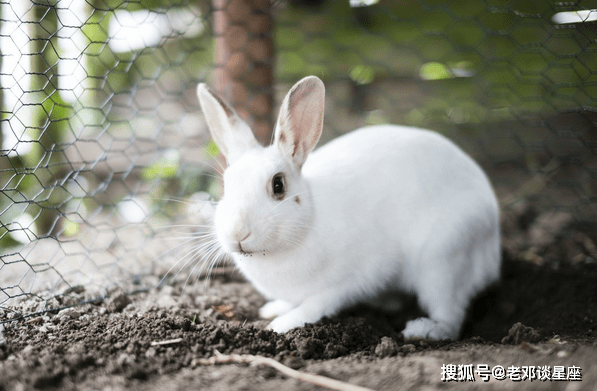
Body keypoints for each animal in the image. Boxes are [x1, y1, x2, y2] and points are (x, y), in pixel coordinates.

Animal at [196, 76, 498, 340]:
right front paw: (273, 309)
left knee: (451, 316)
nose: (237, 234)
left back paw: (424, 330)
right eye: (226, 186)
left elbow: (315, 306)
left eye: (278, 185)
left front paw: (279, 324)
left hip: (442, 261)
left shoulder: (344, 283)